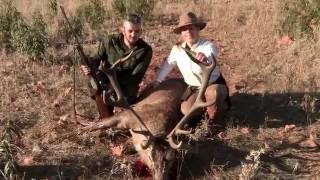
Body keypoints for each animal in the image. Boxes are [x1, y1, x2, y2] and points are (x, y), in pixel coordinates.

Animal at [79, 47, 216, 179]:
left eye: (171, 160)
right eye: (150, 157)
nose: (159, 177)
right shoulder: (126, 115)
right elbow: (97, 125)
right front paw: (82, 130)